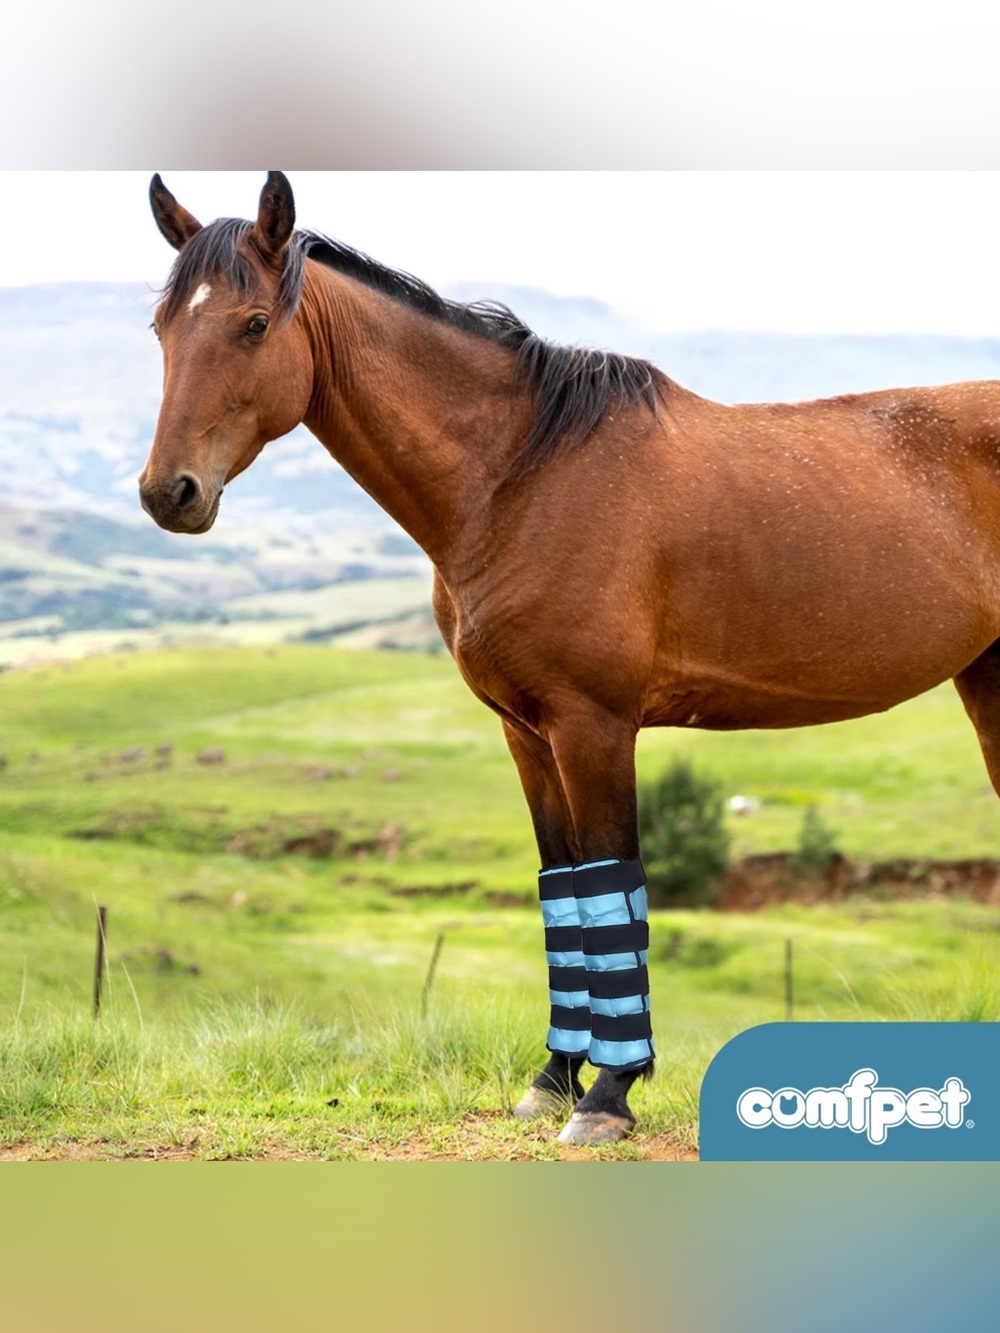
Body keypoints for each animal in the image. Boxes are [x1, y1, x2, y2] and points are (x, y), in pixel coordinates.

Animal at [139, 171, 1000, 1146]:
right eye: (162, 328)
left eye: (253, 324)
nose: (170, 492)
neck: (519, 476)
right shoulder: (526, 731)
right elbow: (566, 891)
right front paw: (553, 1077)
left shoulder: (595, 726)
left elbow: (612, 885)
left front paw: (609, 1094)